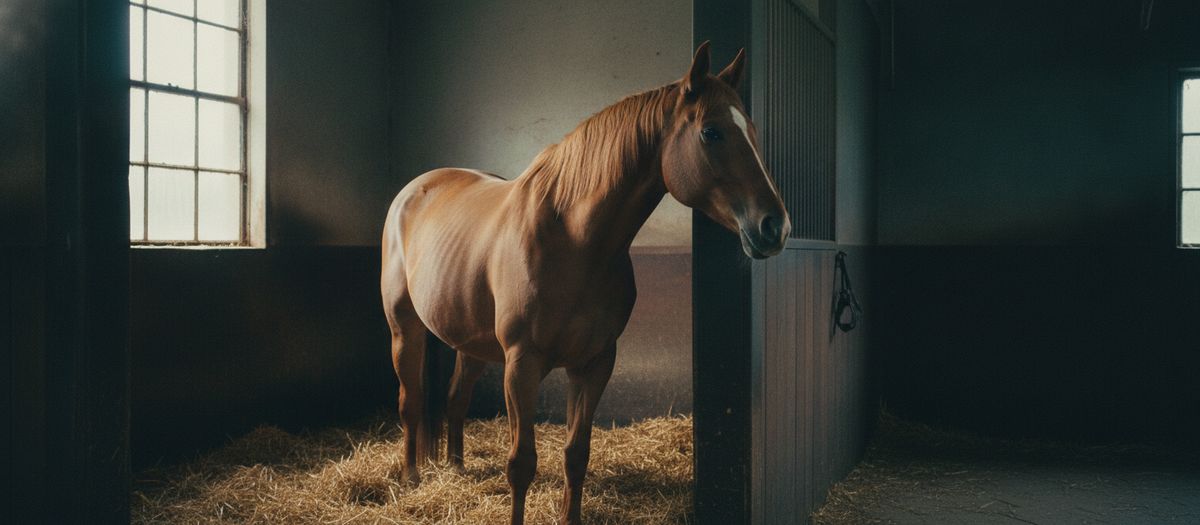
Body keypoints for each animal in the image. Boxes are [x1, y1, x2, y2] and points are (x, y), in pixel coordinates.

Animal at [380, 42, 790, 525]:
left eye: (751, 130)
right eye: (711, 132)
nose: (775, 227)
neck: (574, 240)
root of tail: (415, 188)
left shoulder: (595, 362)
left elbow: (577, 455)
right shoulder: (522, 364)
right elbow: (522, 464)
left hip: (472, 344)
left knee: (455, 399)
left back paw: (456, 469)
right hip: (405, 329)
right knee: (410, 400)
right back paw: (412, 477)